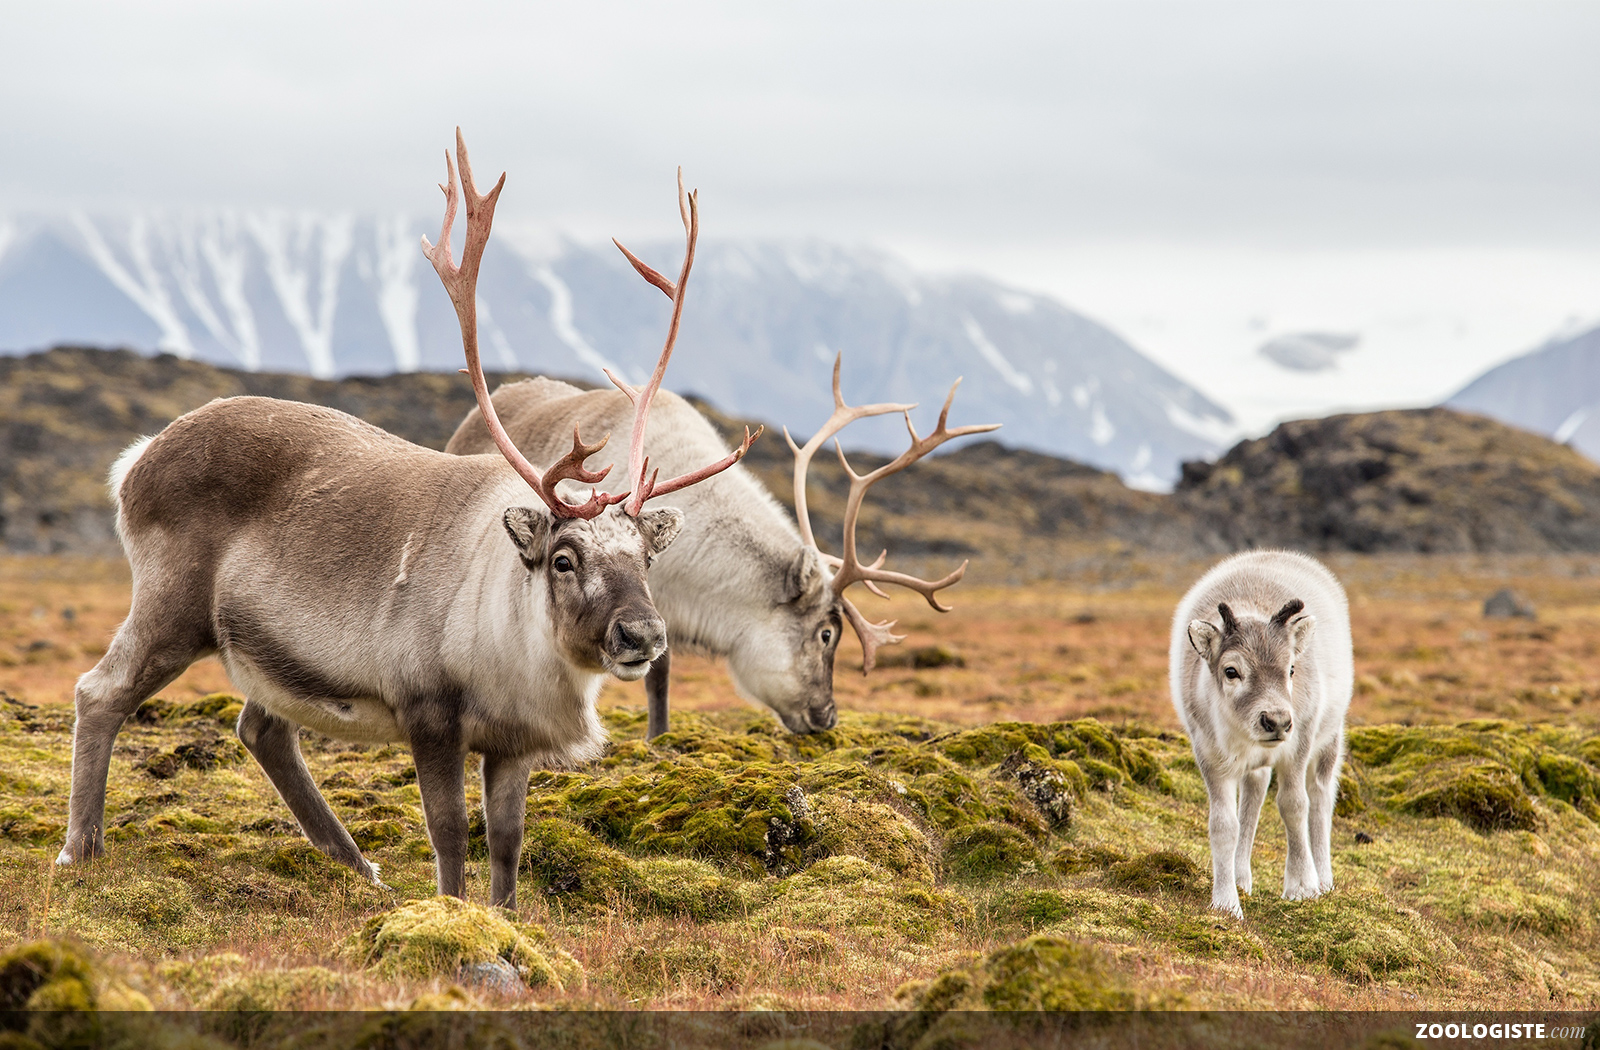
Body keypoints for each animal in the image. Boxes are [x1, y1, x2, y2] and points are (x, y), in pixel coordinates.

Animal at [1171, 550, 1356, 921]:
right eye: (1231, 671)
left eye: (1291, 669)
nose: (1277, 721)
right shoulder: (1210, 755)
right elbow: (1223, 824)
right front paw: (1226, 902)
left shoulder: (1298, 746)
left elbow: (1294, 806)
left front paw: (1301, 887)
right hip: (1256, 765)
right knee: (1254, 796)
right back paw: (1242, 877)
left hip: (1329, 739)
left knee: (1320, 799)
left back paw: (1324, 879)